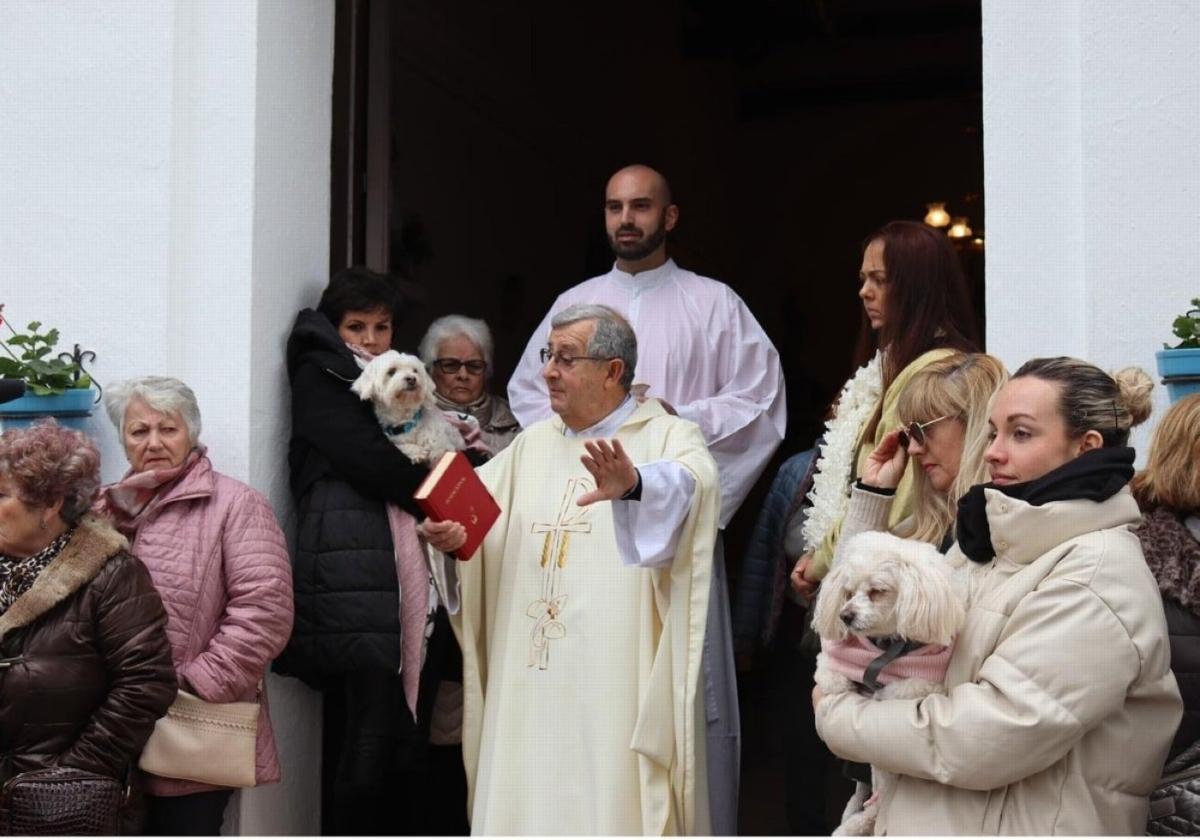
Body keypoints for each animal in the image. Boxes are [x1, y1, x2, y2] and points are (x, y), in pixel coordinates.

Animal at [811, 530, 969, 835]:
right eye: (848, 592)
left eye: (877, 591)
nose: (845, 615)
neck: (885, 648)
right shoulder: (831, 663)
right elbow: (833, 679)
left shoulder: (923, 680)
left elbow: (899, 690)